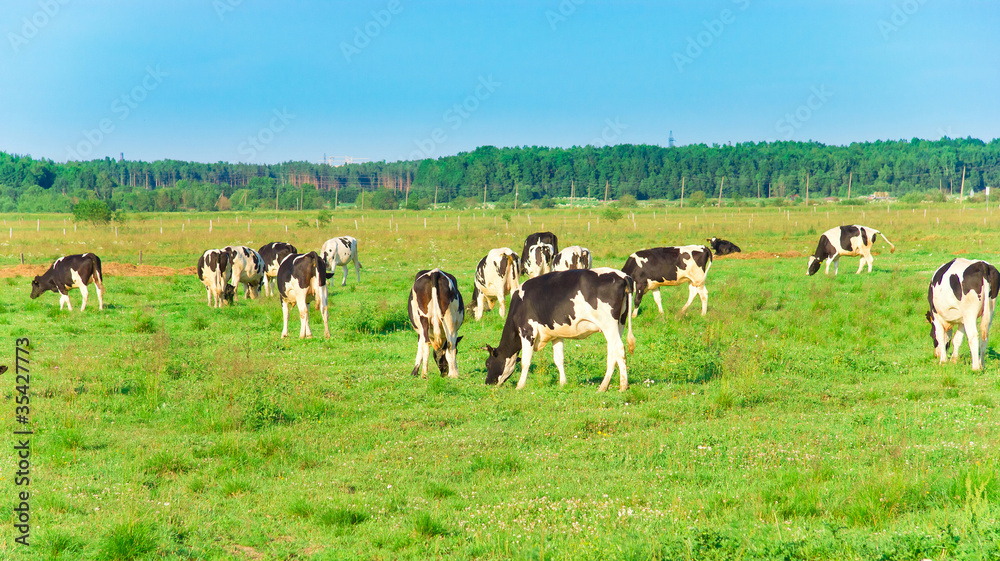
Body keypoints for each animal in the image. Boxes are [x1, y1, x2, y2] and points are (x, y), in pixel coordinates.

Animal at [482, 266, 632, 390]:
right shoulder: (556, 334)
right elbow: (559, 359)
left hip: (609, 324)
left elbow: (525, 361)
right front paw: (563, 383)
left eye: (487, 363)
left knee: (619, 349)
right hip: (619, 325)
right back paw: (603, 386)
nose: (487, 382)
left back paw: (623, 386)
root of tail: (622, 275)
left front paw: (520, 386)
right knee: (612, 353)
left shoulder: (527, 331)